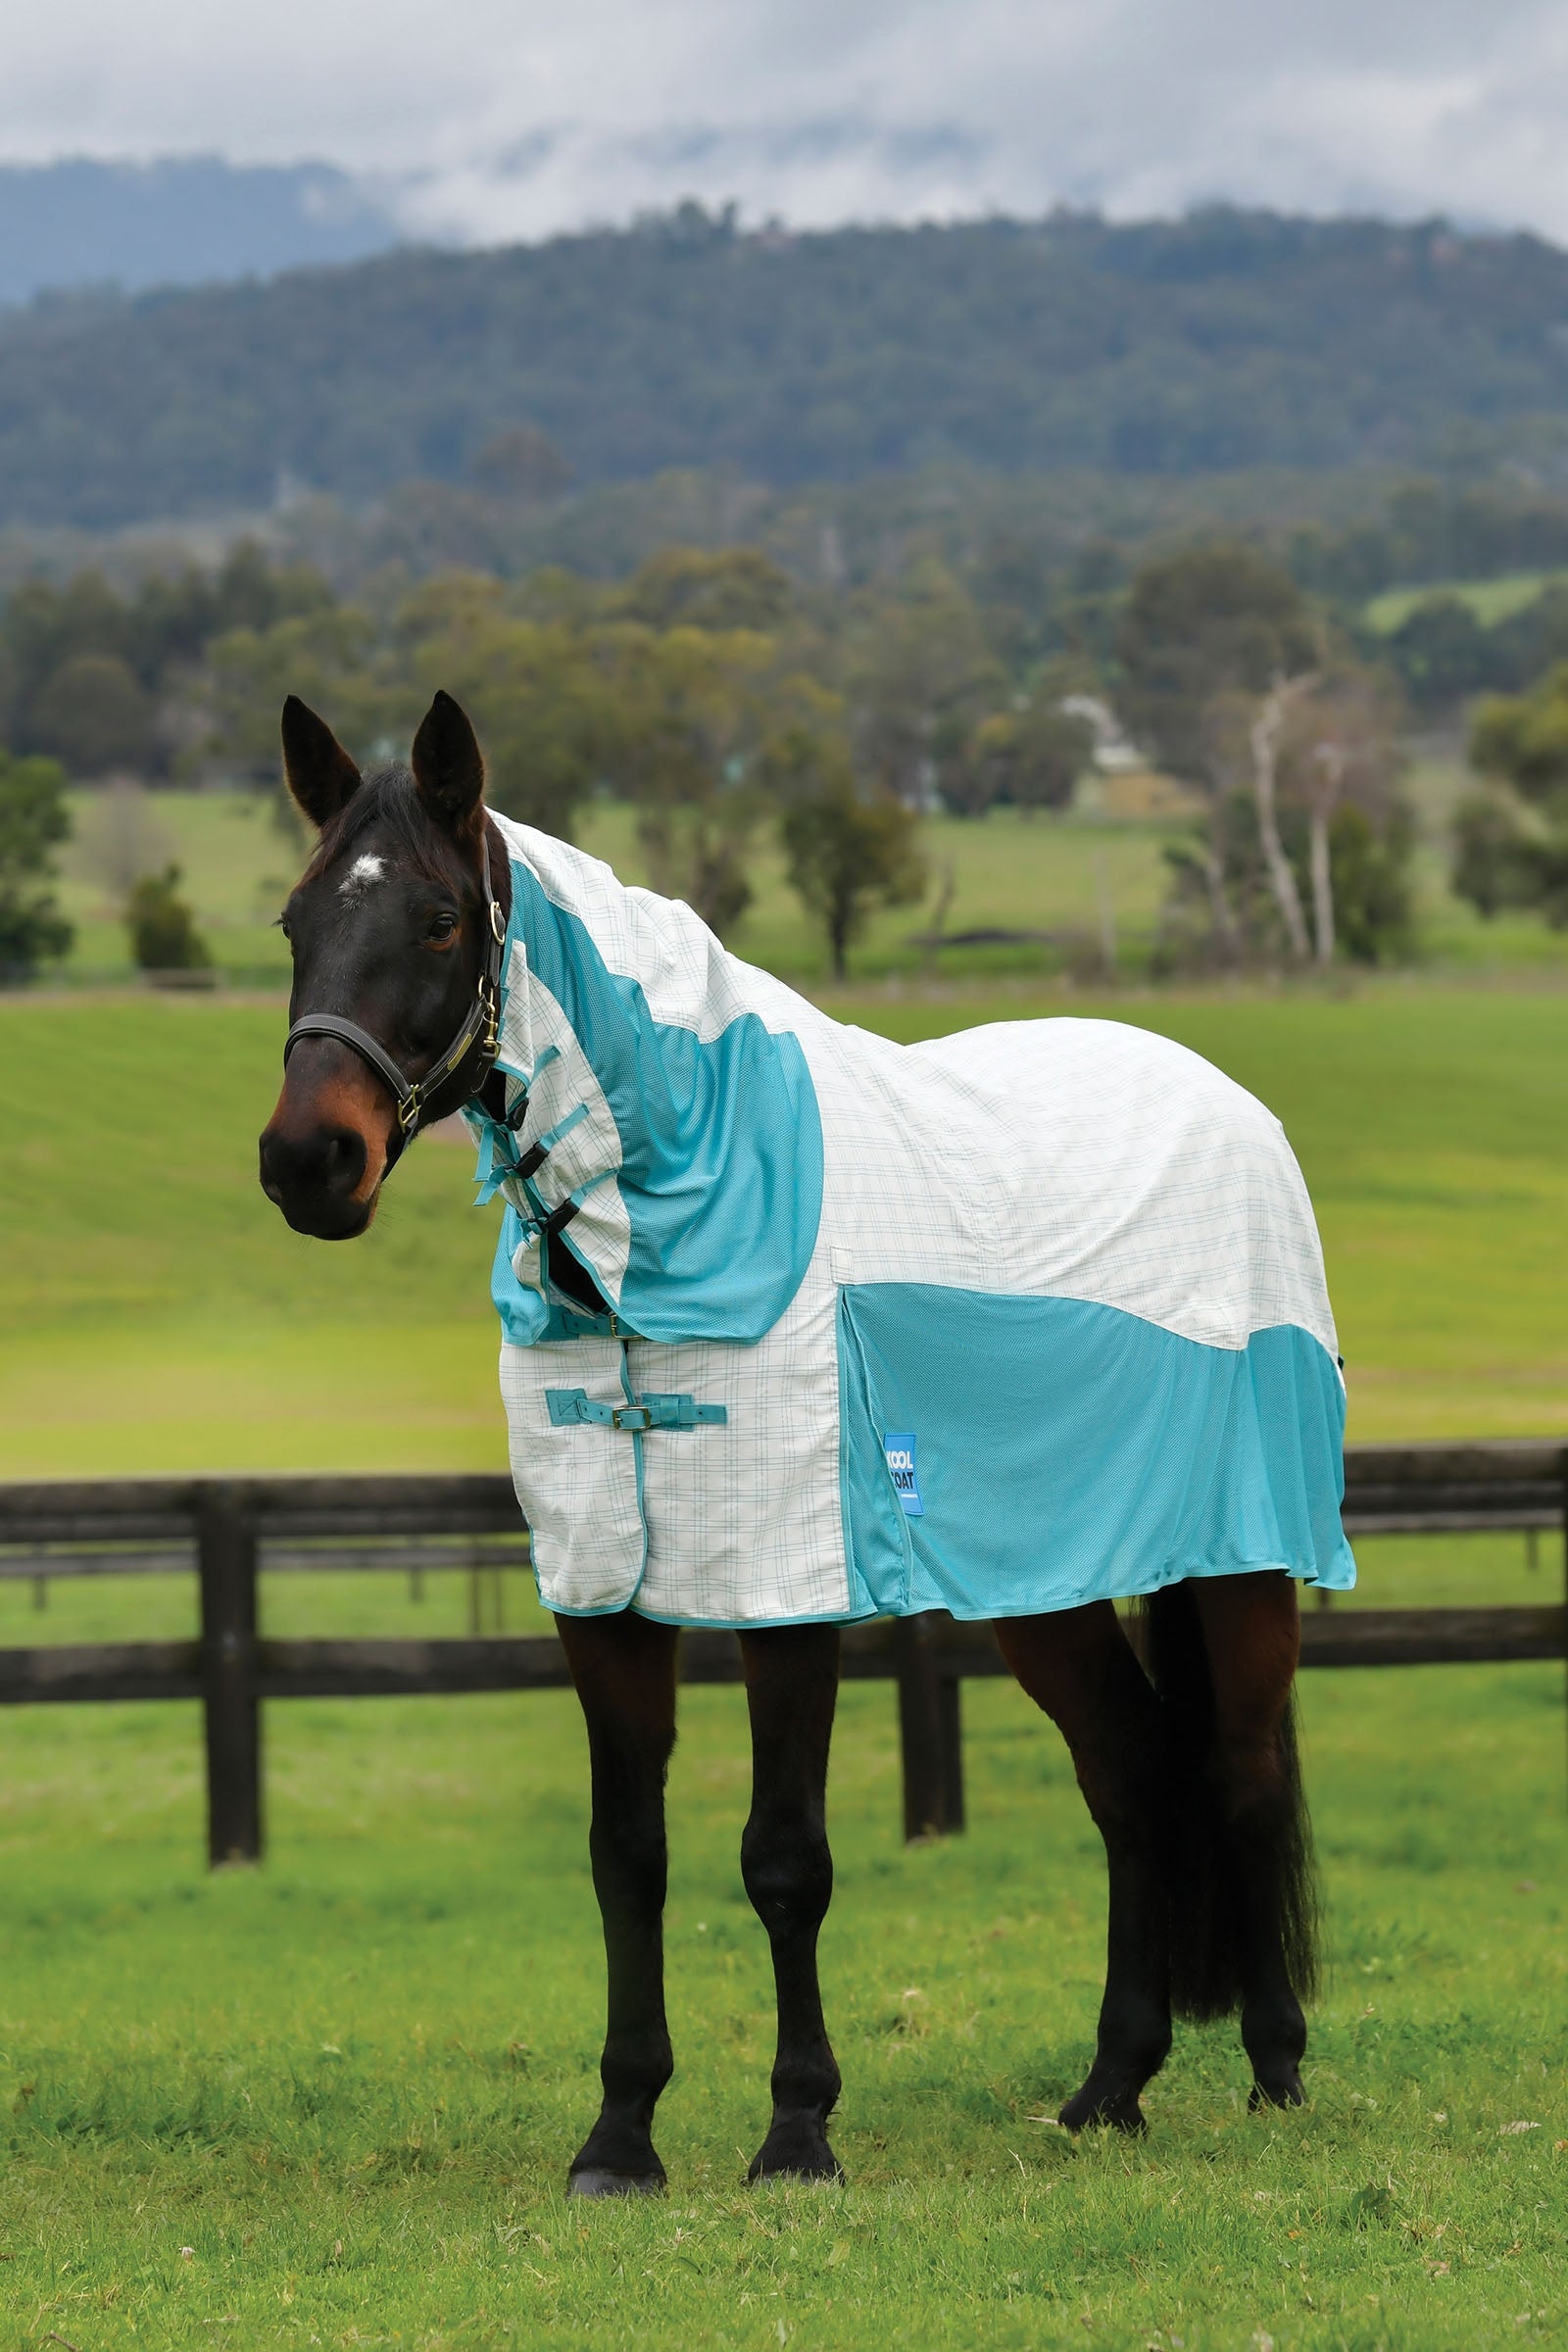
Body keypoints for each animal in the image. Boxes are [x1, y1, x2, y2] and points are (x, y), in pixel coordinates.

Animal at [259, 690, 1352, 2197]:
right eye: (294, 922)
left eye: (433, 920)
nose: (309, 1162)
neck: (686, 1182)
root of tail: (1228, 1104)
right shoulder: (601, 1594)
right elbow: (627, 1854)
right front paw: (621, 2136)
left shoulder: (787, 1589)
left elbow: (784, 1858)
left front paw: (796, 2133)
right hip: (1044, 1586)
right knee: (1132, 1773)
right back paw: (1109, 2088)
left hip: (1238, 1560)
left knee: (1239, 1772)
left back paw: (1279, 2074)